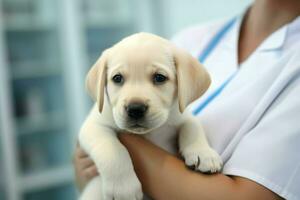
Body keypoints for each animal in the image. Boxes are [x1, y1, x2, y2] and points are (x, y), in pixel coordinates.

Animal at [78, 32, 221, 199]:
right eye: (117, 78)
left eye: (159, 77)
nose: (135, 109)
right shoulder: (93, 125)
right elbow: (112, 149)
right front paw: (123, 188)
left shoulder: (182, 114)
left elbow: (192, 127)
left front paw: (203, 153)